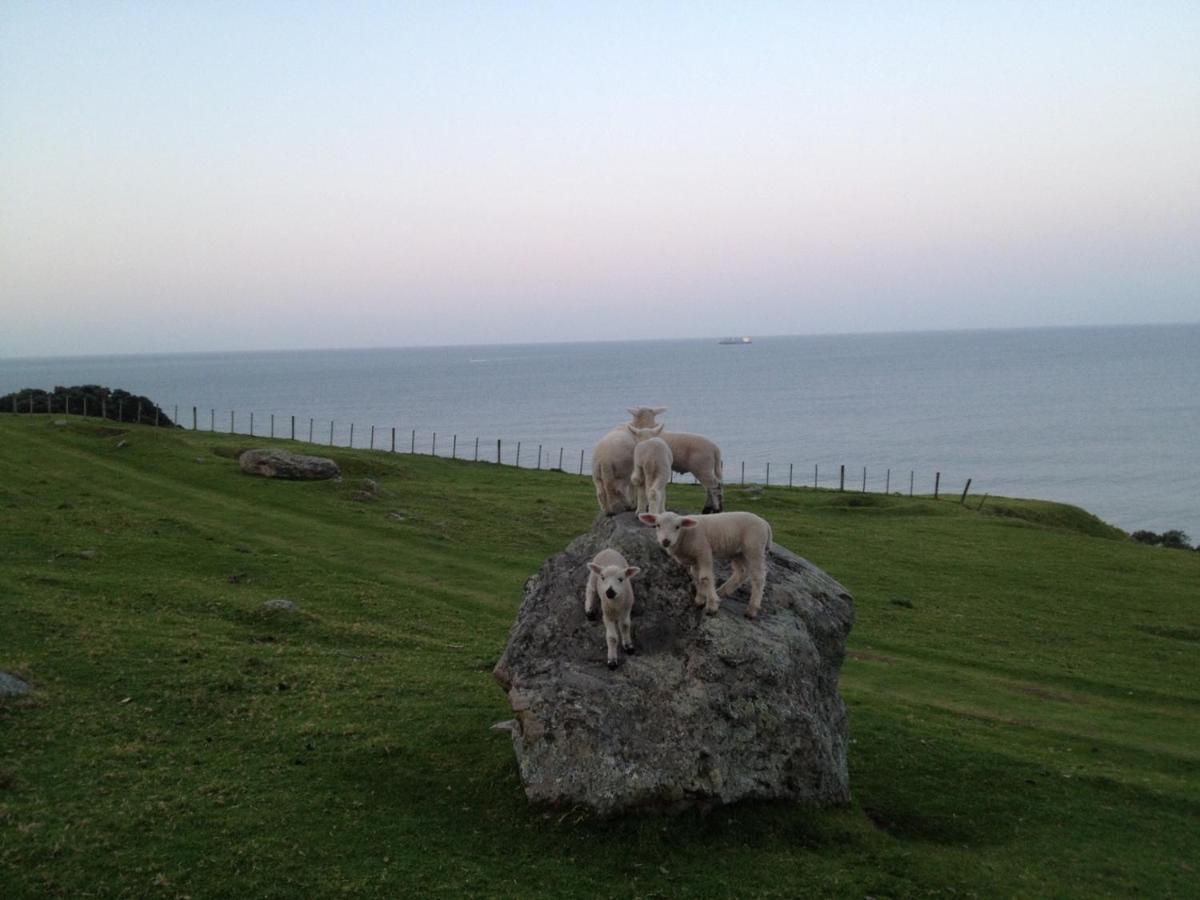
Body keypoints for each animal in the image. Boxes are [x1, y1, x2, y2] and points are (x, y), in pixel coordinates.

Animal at [643, 513, 772, 619]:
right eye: (657, 525)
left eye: (677, 527)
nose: (666, 541)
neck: (685, 535)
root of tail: (765, 523)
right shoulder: (694, 559)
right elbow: (696, 577)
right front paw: (700, 599)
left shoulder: (703, 551)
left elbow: (705, 578)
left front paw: (711, 606)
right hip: (738, 552)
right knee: (742, 572)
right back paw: (722, 591)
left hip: (754, 548)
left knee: (758, 577)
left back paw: (752, 609)